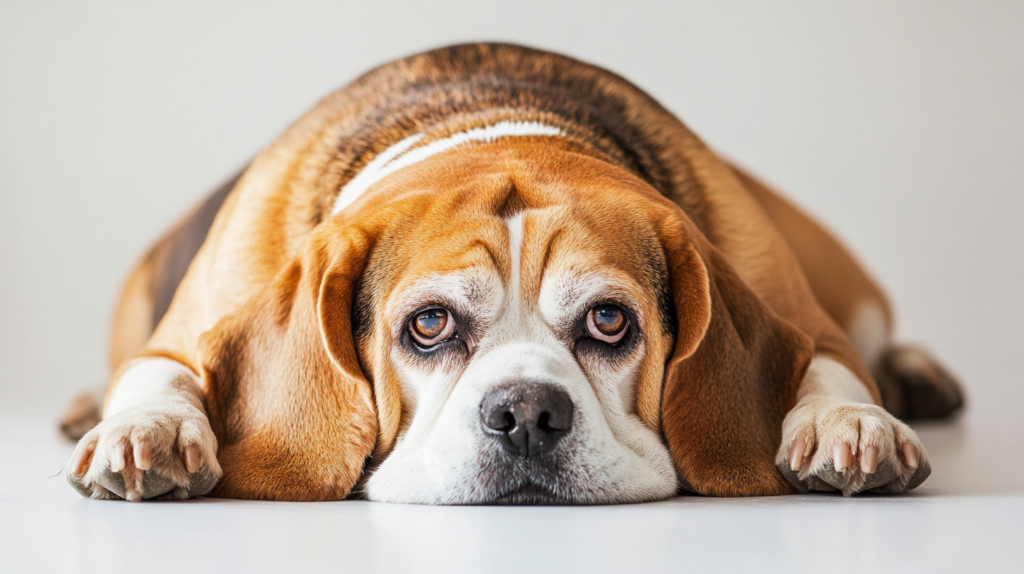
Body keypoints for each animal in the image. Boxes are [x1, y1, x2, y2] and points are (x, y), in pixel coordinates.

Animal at [61, 43, 958, 501]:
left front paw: (853, 427)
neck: (495, 126)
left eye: (609, 320)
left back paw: (919, 377)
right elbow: (159, 376)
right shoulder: (182, 334)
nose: (527, 414)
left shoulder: (809, 321)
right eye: (428, 325)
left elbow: (832, 370)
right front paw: (146, 433)